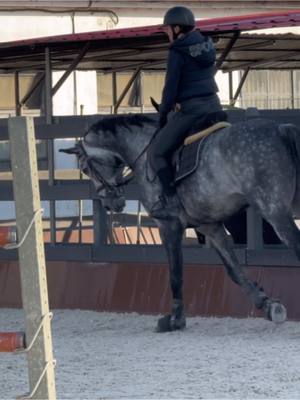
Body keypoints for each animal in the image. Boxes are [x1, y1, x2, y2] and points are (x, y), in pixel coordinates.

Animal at [61, 112, 300, 332]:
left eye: (85, 169)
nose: (111, 203)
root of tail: (281, 129)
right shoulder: (210, 227)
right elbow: (234, 270)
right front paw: (268, 305)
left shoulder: (169, 224)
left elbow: (175, 274)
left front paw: (175, 320)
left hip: (274, 211)